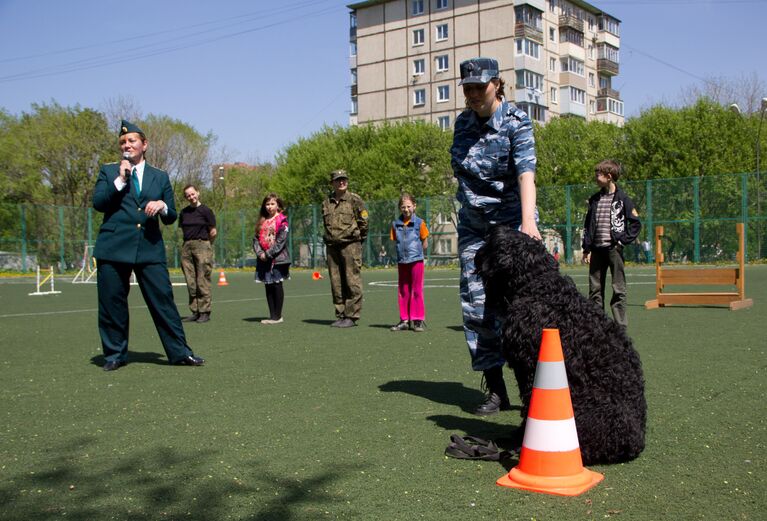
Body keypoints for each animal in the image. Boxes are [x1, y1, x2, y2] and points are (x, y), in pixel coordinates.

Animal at [474, 224, 648, 464]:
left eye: (490, 242)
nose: (475, 255)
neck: (538, 286)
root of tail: (635, 442)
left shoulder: (529, 369)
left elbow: (528, 407)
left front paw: (523, 438)